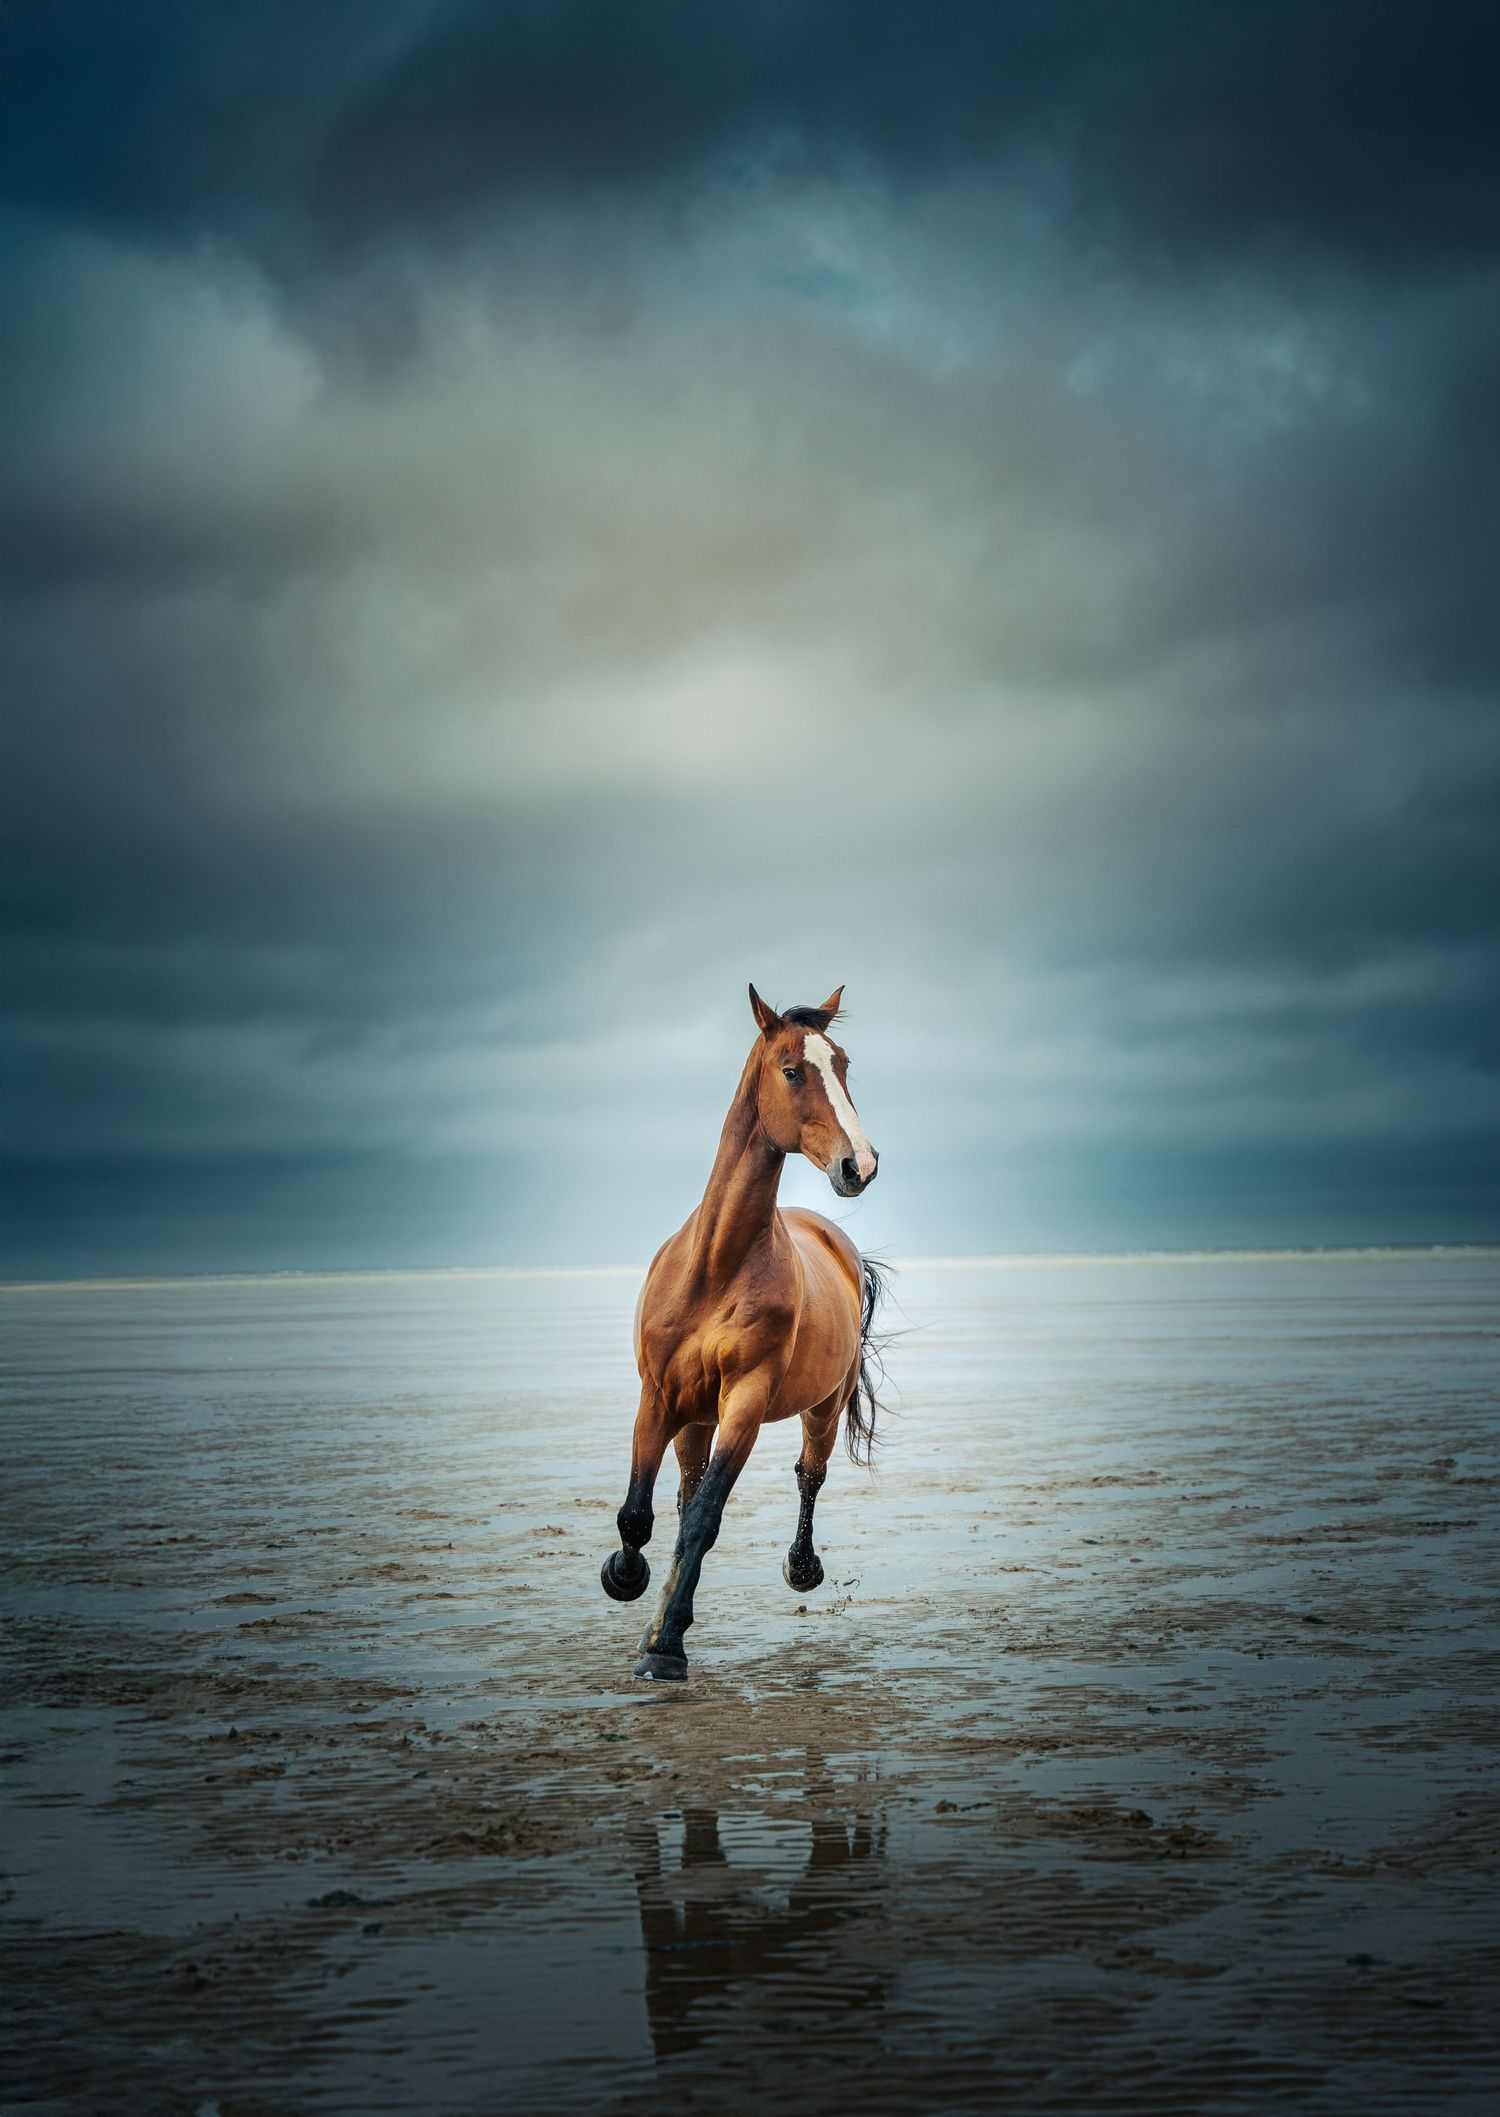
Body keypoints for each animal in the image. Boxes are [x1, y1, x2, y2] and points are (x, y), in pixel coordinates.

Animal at [600, 982, 885, 1681]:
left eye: (842, 1066)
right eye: (792, 1070)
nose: (859, 1166)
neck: (716, 1266)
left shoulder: (746, 1403)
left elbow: (705, 1518)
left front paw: (665, 1647)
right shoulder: (659, 1397)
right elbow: (640, 1514)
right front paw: (625, 1578)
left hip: (822, 1405)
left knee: (809, 1475)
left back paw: (802, 1568)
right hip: (694, 1417)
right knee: (679, 1496)